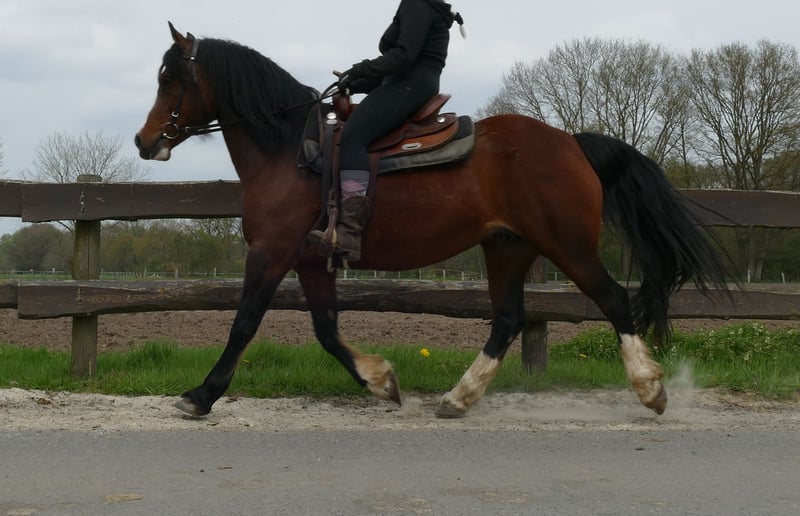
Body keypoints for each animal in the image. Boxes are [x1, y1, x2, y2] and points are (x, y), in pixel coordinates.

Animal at [135, 23, 731, 419]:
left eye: (170, 77)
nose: (144, 141)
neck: (289, 150)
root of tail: (570, 142)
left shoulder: (270, 252)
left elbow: (243, 324)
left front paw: (201, 395)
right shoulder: (309, 259)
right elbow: (326, 330)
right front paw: (380, 381)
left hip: (568, 246)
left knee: (611, 301)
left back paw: (649, 388)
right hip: (508, 246)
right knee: (508, 319)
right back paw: (459, 397)